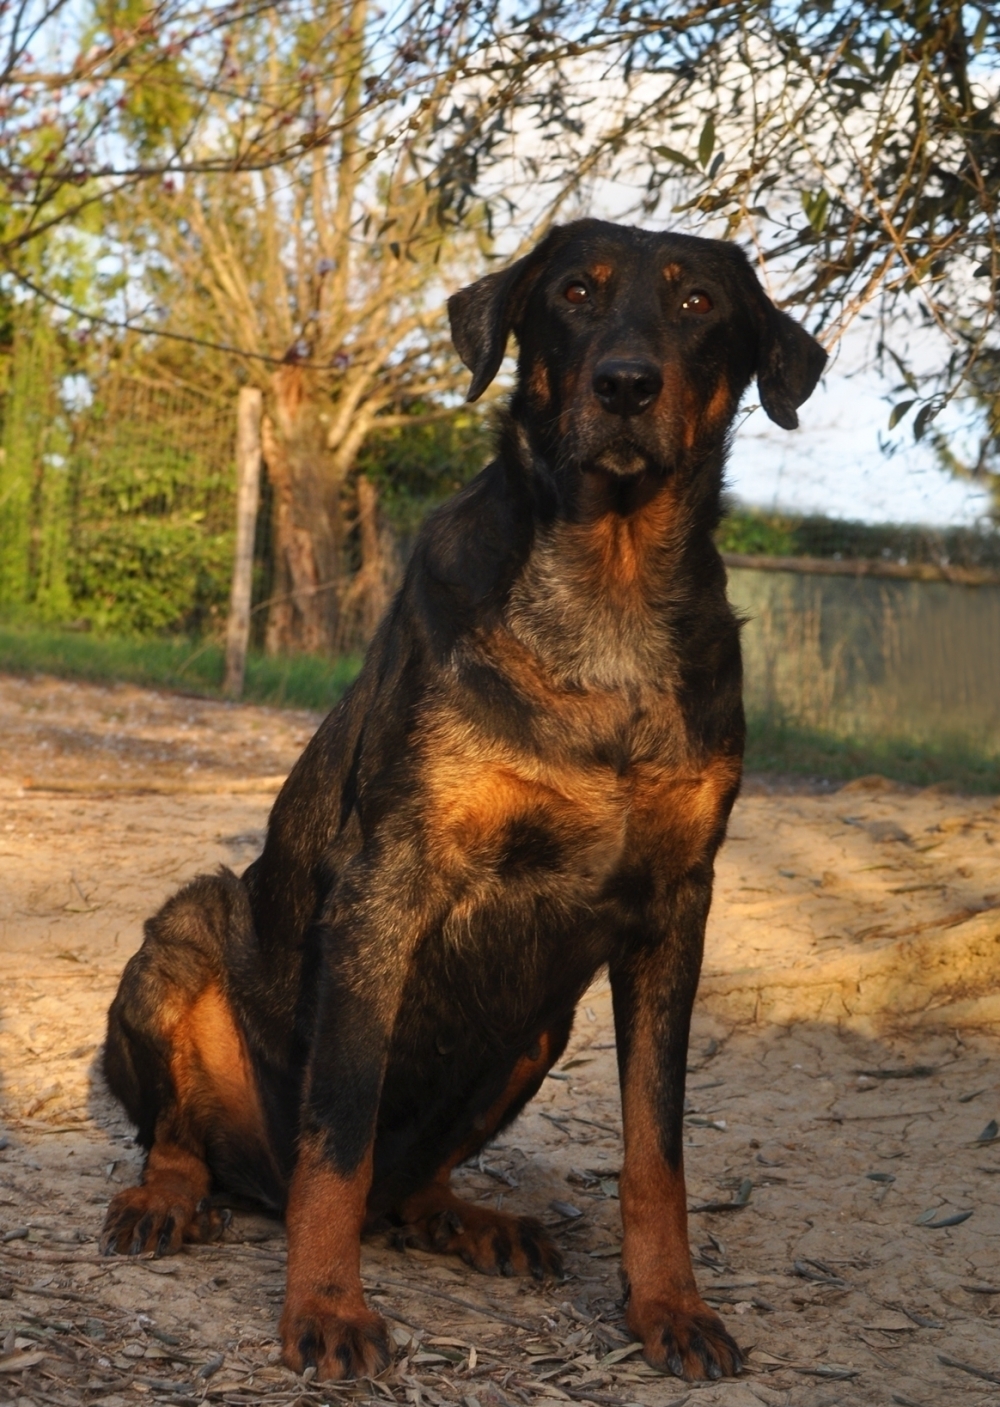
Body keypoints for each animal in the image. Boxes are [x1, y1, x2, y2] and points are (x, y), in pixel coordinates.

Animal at [97, 219, 827, 1384]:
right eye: (574, 292)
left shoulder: (677, 909)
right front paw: (326, 1306)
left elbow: (655, 1147)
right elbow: (338, 1132)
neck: (607, 591)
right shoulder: (385, 886)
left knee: (409, 1187)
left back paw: (471, 1218)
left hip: (537, 1026)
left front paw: (670, 1306)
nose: (626, 385)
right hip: (186, 932)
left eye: (700, 304)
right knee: (190, 1136)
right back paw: (167, 1197)